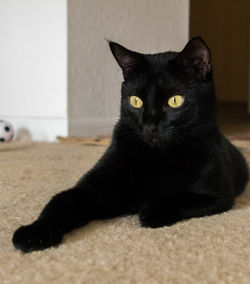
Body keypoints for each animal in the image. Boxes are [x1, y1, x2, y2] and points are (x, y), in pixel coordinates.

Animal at [12, 37, 248, 253]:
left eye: (175, 101)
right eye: (136, 101)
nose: (150, 125)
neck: (157, 157)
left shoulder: (218, 196)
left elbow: (178, 199)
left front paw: (151, 209)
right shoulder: (92, 189)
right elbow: (61, 201)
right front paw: (34, 232)